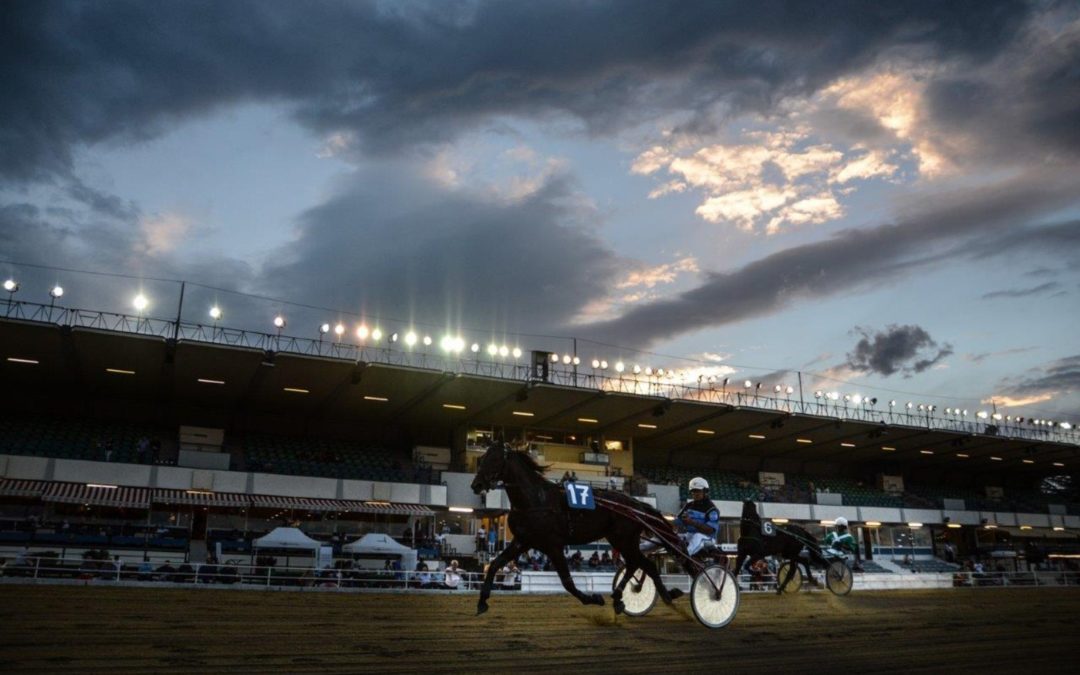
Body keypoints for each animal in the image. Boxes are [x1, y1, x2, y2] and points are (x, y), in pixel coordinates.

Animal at [466, 442, 682, 617]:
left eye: (494, 459)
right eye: (482, 459)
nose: (476, 484)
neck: (536, 501)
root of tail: (636, 505)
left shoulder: (553, 545)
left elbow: (567, 582)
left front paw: (594, 599)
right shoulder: (522, 541)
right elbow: (495, 564)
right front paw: (482, 602)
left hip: (624, 540)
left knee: (642, 564)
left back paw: (658, 595)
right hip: (621, 540)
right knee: (638, 564)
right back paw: (631, 596)